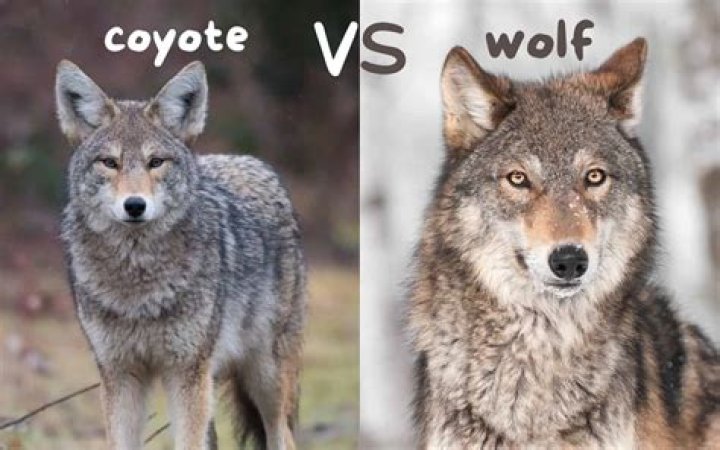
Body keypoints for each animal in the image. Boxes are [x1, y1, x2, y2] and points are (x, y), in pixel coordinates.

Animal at [55, 60, 306, 450]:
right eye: (109, 163)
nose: (135, 205)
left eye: (156, 162)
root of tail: (253, 162)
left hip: (264, 376)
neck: (138, 282)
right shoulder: (119, 374)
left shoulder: (185, 371)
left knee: (283, 435)